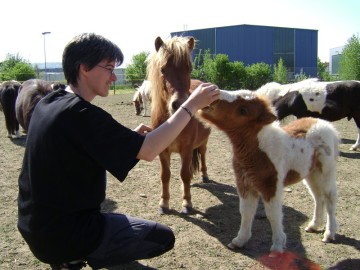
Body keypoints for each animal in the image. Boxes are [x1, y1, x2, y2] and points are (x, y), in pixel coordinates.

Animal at [147, 35, 211, 214]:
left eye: (189, 69)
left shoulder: (187, 149)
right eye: (163, 69)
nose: (180, 103)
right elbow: (165, 175)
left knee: (203, 155)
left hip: (203, 142)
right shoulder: (163, 151)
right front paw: (164, 203)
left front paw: (187, 203)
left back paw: (205, 176)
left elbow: (184, 174)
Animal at [198, 89, 338, 252]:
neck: (259, 150)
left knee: (329, 198)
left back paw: (329, 233)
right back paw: (314, 226)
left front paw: (277, 246)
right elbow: (246, 211)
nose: (214, 95)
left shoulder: (271, 186)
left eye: (243, 110)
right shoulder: (245, 184)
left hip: (325, 172)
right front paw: (240, 240)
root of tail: (324, 124)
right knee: (318, 197)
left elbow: (273, 214)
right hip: (311, 173)